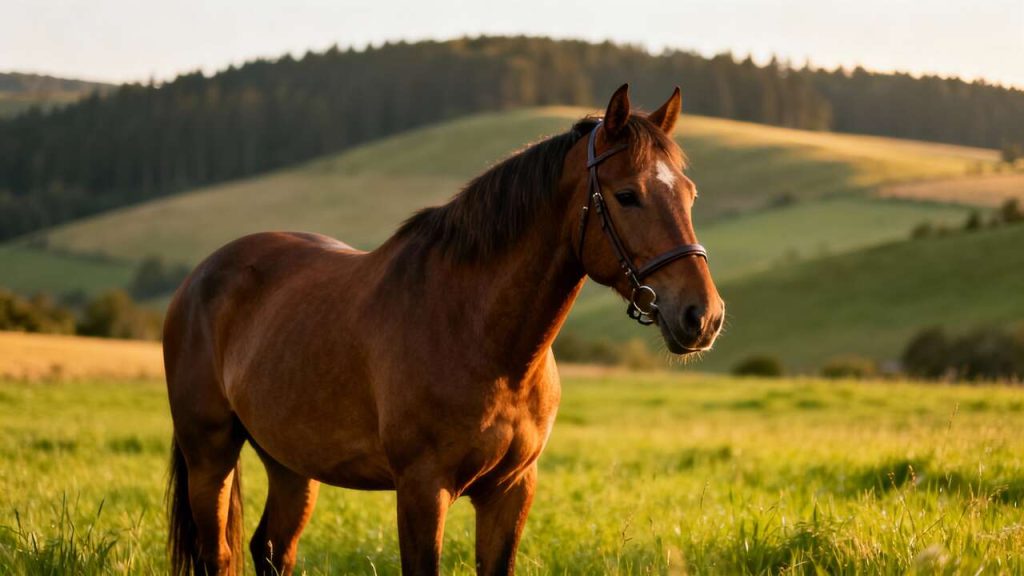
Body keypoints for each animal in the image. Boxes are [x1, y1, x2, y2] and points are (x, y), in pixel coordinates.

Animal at [164, 84, 724, 576]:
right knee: (218, 556)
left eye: (690, 194)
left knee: (272, 549)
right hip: (210, 454)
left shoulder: (511, 490)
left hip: (290, 463)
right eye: (627, 195)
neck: (480, 337)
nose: (703, 315)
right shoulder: (422, 490)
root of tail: (198, 279)